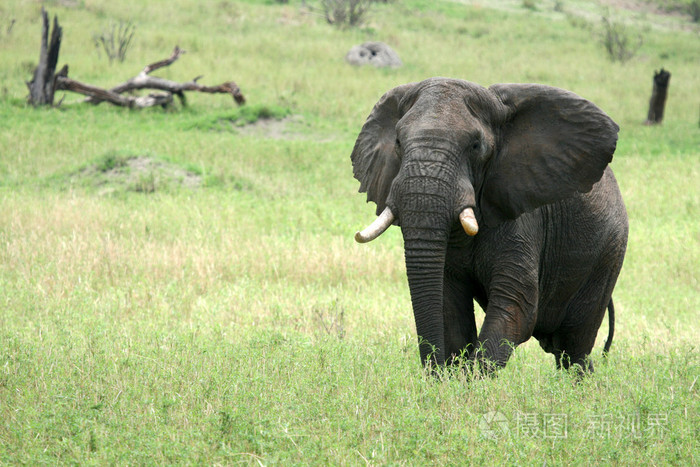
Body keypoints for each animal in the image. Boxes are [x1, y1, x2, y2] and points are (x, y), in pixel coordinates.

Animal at [350, 78, 628, 374]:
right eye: (398, 142)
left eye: (475, 145)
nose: (433, 373)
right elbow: (451, 312)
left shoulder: (523, 221)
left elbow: (516, 309)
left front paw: (470, 382)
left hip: (608, 253)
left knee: (574, 348)